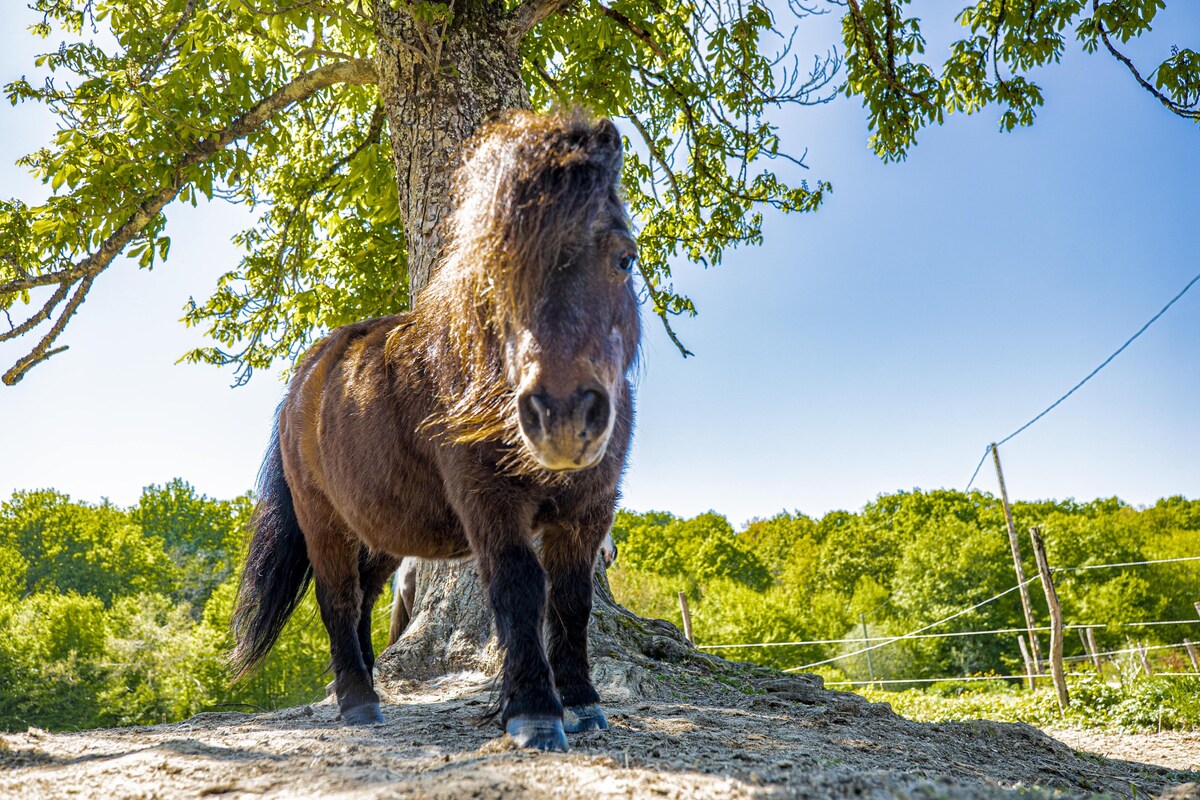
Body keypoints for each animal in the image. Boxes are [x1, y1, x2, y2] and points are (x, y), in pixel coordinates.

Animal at [230, 110, 643, 753]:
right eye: (496, 271)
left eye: (624, 258)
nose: (564, 416)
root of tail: (309, 377)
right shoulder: (489, 504)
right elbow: (520, 591)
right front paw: (533, 711)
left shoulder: (588, 511)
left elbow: (571, 603)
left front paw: (581, 702)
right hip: (323, 522)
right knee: (337, 598)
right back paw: (357, 702)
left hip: (378, 531)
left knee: (362, 601)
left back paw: (369, 686)